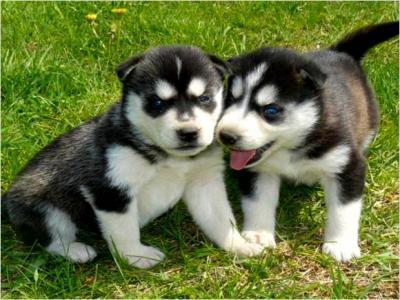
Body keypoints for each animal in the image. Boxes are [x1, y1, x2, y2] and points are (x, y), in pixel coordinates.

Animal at [4, 45, 266, 268]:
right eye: (157, 103)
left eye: (204, 98)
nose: (188, 133)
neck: (169, 157)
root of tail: (5, 200)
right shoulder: (111, 189)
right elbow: (125, 231)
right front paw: (136, 256)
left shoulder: (205, 182)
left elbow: (221, 219)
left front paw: (238, 245)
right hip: (45, 207)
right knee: (49, 237)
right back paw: (75, 250)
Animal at [217, 22, 398, 262]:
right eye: (231, 99)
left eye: (271, 110)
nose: (226, 136)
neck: (292, 147)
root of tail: (340, 52)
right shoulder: (259, 170)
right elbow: (258, 202)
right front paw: (258, 235)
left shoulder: (347, 164)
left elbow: (344, 209)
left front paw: (340, 244)